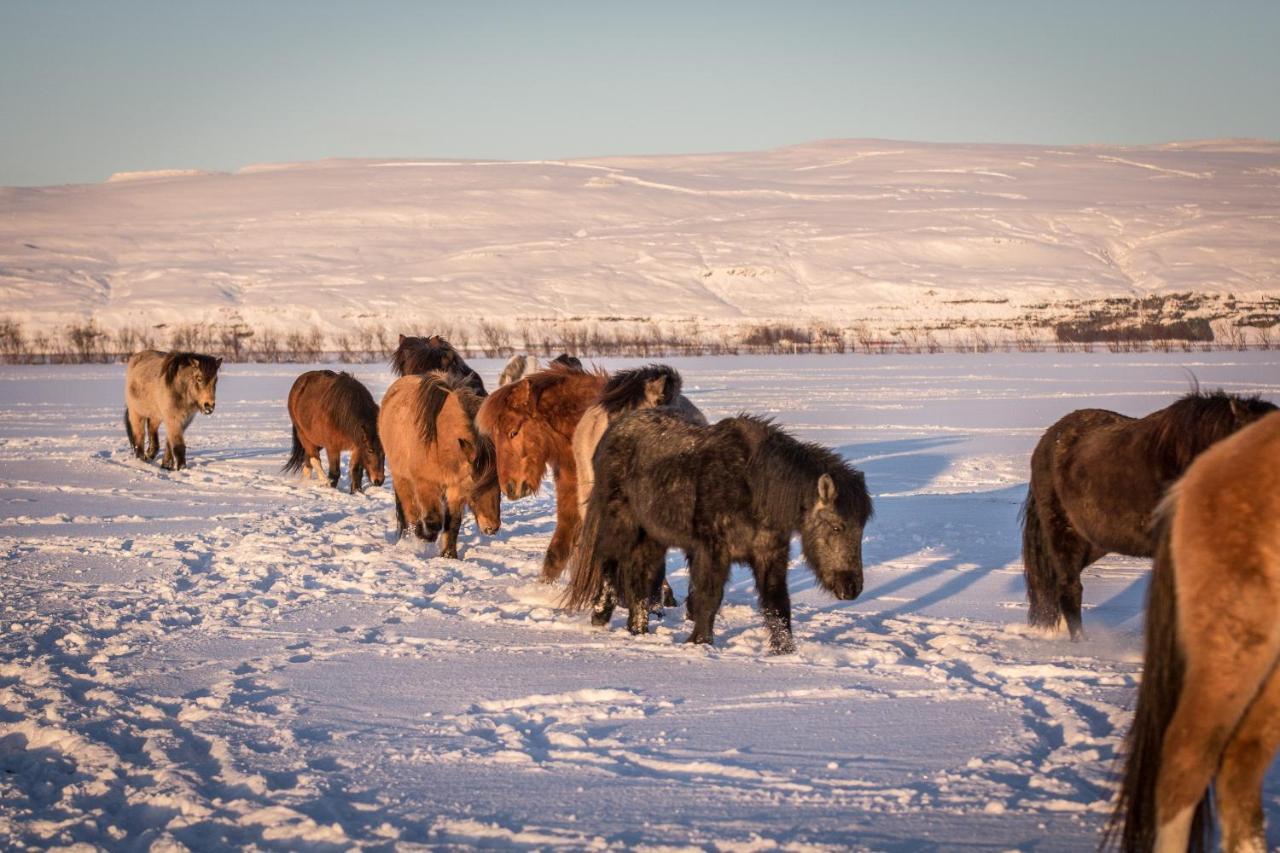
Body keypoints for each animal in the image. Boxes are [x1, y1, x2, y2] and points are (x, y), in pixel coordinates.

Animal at [376, 366, 496, 555]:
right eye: (476, 487)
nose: (492, 527)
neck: (439, 441)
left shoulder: (456, 488)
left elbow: (453, 523)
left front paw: (449, 555)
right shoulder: (425, 484)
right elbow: (433, 522)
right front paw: (423, 535)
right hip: (401, 479)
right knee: (410, 512)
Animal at [568, 409, 875, 653]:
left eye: (861, 529)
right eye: (837, 526)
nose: (852, 587)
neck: (755, 487)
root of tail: (612, 432)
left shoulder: (769, 554)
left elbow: (777, 604)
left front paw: (784, 651)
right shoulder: (712, 550)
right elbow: (708, 597)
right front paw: (699, 643)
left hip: (653, 537)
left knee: (641, 579)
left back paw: (638, 629)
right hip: (622, 525)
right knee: (608, 562)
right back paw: (601, 615)